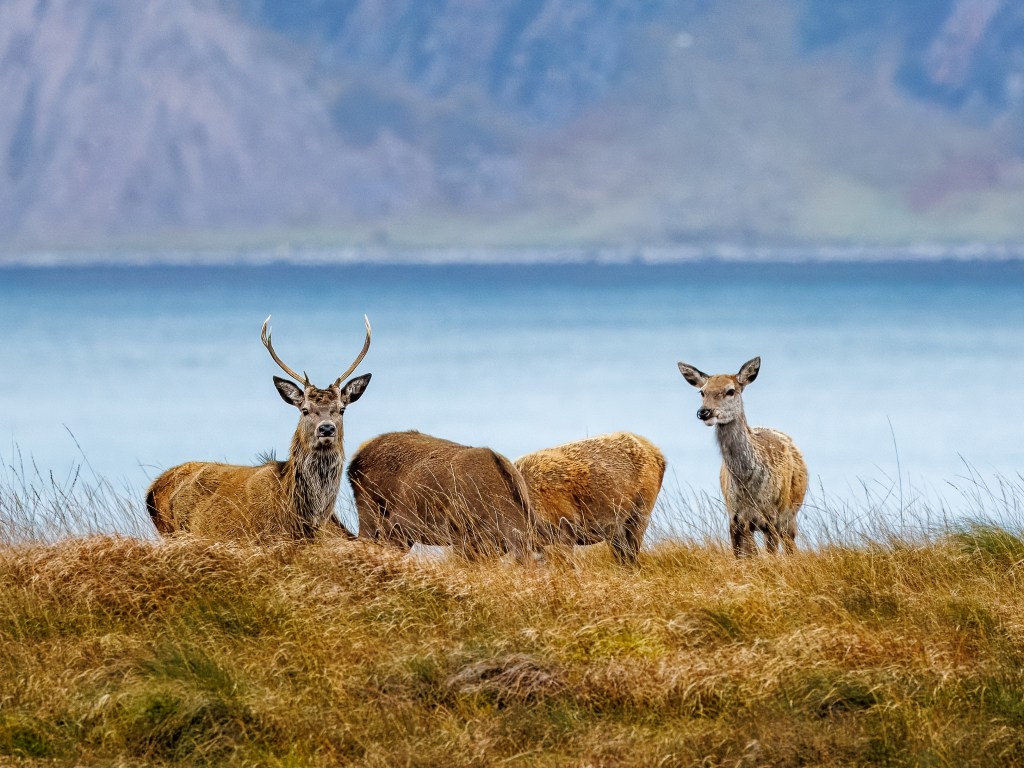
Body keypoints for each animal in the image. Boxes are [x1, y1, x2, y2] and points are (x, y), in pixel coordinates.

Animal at [677, 357, 807, 557]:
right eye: (702, 392)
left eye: (731, 391)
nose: (704, 412)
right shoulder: (735, 517)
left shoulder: (772, 517)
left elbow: (770, 555)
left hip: (789, 514)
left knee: (791, 547)